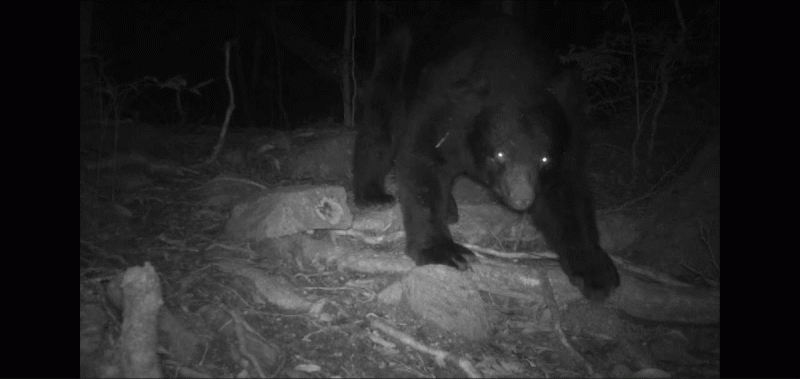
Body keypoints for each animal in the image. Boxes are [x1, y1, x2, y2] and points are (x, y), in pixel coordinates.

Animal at [354, 17, 620, 302]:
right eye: (499, 154)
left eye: (544, 159)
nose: (522, 199)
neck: (514, 70)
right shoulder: (447, 100)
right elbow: (422, 156)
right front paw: (446, 251)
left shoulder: (570, 124)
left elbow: (568, 190)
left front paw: (596, 272)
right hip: (398, 57)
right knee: (381, 118)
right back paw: (373, 194)